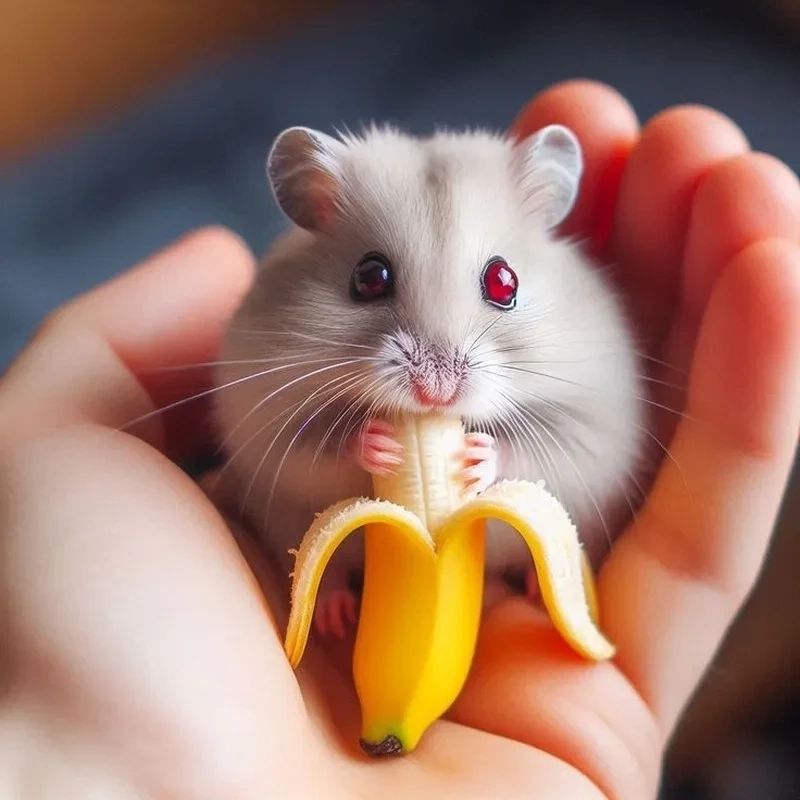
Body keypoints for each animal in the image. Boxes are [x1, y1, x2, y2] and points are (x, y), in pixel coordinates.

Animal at [212, 123, 644, 636]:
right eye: (370, 276)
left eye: (504, 281)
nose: (436, 392)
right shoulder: (268, 426)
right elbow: (321, 450)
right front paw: (378, 444)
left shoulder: (591, 430)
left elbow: (535, 456)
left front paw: (477, 455)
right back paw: (335, 616)